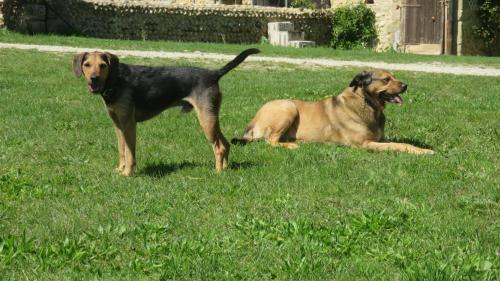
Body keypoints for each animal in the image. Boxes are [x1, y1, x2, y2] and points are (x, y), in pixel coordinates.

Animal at [74, 48, 262, 175]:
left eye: (103, 66)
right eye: (87, 65)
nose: (93, 79)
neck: (115, 79)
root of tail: (214, 73)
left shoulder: (129, 124)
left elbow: (129, 153)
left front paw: (127, 173)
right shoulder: (118, 124)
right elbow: (122, 150)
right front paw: (120, 170)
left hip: (206, 120)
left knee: (219, 147)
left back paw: (217, 172)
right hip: (211, 117)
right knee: (226, 143)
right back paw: (225, 168)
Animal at [232, 69, 432, 154]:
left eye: (394, 77)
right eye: (386, 79)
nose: (405, 86)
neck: (366, 103)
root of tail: (253, 121)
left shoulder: (379, 139)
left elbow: (402, 143)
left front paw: (422, 149)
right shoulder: (365, 144)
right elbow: (398, 145)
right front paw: (422, 152)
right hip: (288, 107)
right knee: (271, 141)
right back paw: (291, 146)